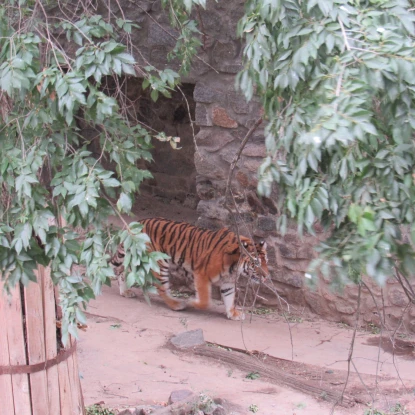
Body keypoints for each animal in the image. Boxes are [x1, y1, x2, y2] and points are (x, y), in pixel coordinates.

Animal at [111, 218, 270, 322]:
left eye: (266, 262)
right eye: (256, 263)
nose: (266, 276)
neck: (234, 267)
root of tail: (137, 223)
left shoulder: (228, 282)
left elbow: (229, 297)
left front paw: (233, 314)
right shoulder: (201, 274)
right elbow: (205, 300)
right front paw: (192, 302)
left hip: (136, 257)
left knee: (122, 270)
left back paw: (125, 291)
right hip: (159, 262)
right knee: (161, 288)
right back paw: (177, 304)